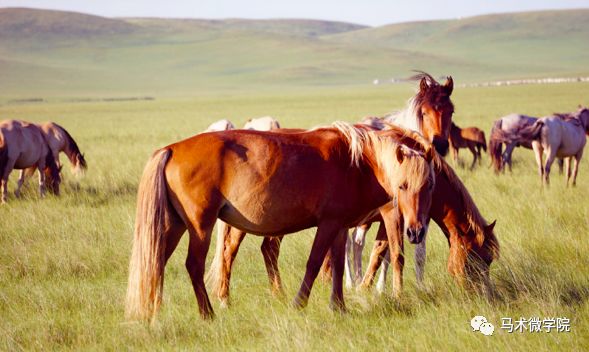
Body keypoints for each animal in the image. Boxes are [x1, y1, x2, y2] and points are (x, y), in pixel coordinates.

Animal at [125, 122, 436, 320]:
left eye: (429, 185)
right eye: (403, 186)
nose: (415, 232)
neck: (356, 162)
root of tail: (172, 149)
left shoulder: (339, 227)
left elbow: (336, 266)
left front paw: (338, 307)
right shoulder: (328, 225)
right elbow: (314, 264)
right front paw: (299, 303)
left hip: (174, 226)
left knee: (156, 261)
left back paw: (154, 310)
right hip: (200, 226)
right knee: (193, 266)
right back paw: (207, 314)